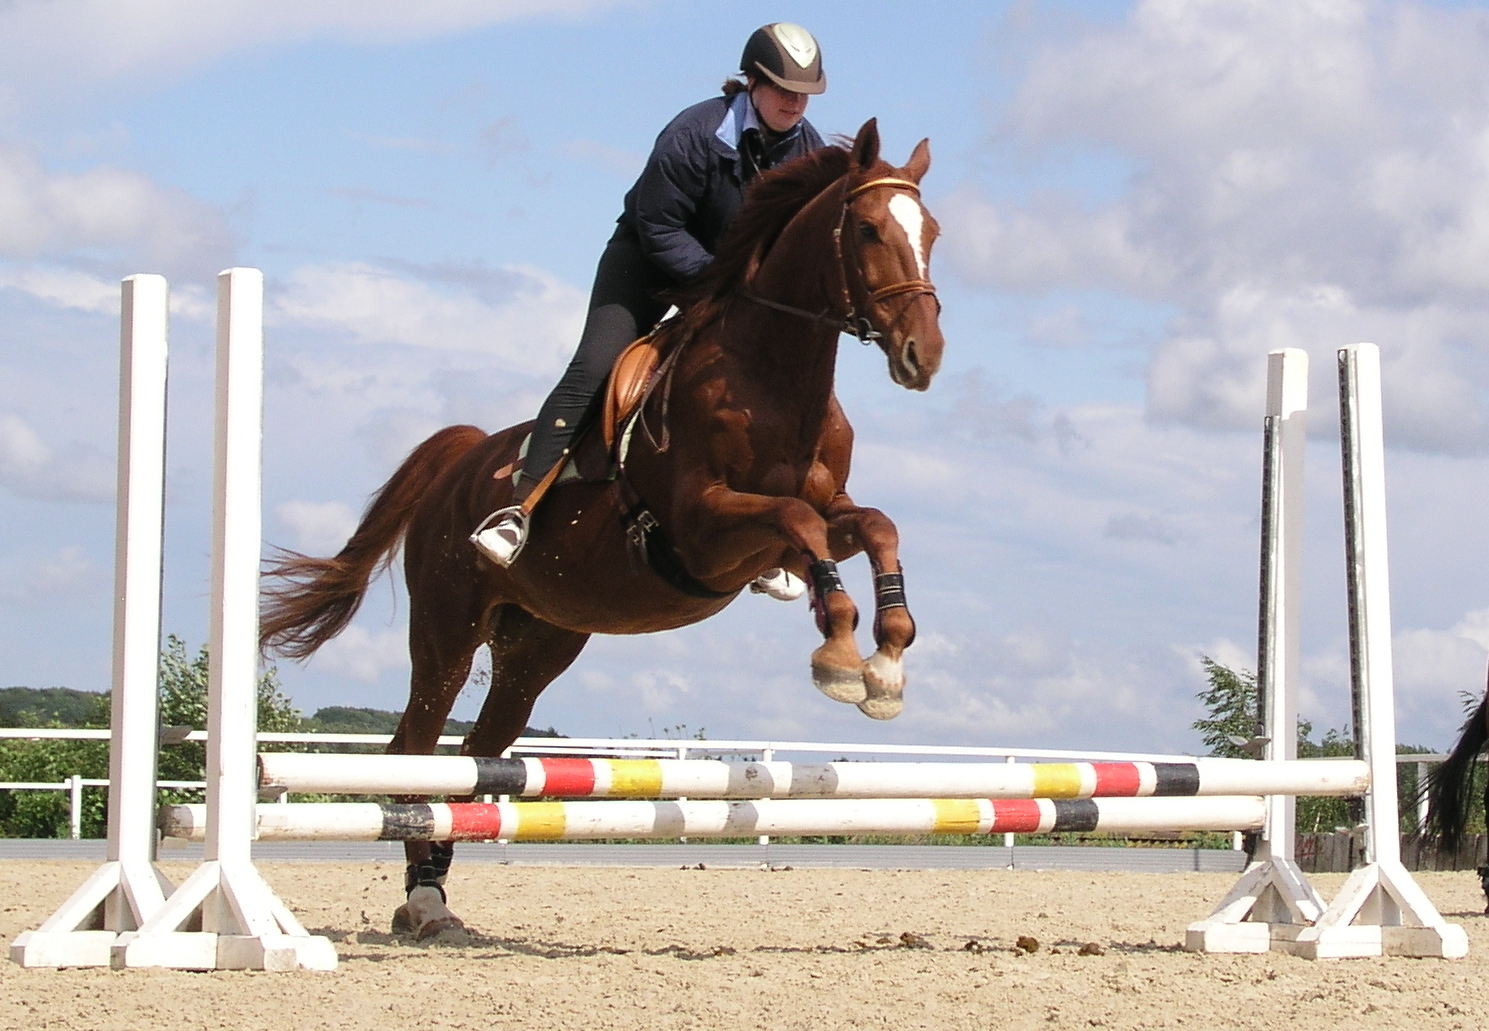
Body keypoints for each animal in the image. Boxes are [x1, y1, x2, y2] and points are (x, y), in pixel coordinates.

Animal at [259, 116, 941, 935]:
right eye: (868, 229)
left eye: (931, 232)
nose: (925, 354)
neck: (772, 377)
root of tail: (459, 460)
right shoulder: (703, 531)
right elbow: (799, 520)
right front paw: (840, 655)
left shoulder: (812, 517)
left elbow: (874, 527)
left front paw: (887, 663)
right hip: (447, 628)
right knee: (414, 747)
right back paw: (423, 901)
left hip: (538, 644)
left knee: (477, 754)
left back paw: (435, 890)